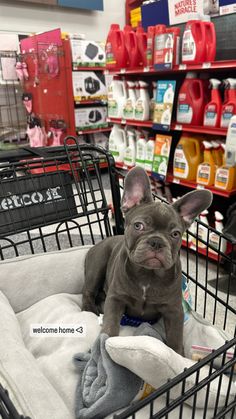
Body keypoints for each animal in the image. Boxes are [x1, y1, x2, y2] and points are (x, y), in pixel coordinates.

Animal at [82, 166, 213, 356]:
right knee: (88, 292)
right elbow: (110, 323)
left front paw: (178, 355)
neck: (148, 274)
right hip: (97, 264)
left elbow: (175, 336)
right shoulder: (116, 299)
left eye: (175, 234)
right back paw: (89, 310)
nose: (157, 242)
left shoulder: (174, 311)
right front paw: (103, 345)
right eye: (139, 226)